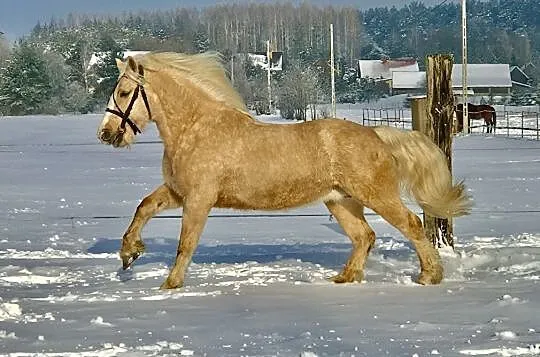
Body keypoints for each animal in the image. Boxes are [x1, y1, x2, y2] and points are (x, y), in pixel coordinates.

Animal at [98, 52, 472, 290]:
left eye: (125, 92)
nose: (106, 134)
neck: (197, 128)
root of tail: (376, 134)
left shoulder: (199, 199)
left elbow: (185, 244)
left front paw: (170, 284)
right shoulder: (178, 192)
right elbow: (144, 206)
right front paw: (129, 254)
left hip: (376, 195)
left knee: (410, 225)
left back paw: (429, 276)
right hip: (340, 201)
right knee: (364, 236)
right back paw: (345, 278)